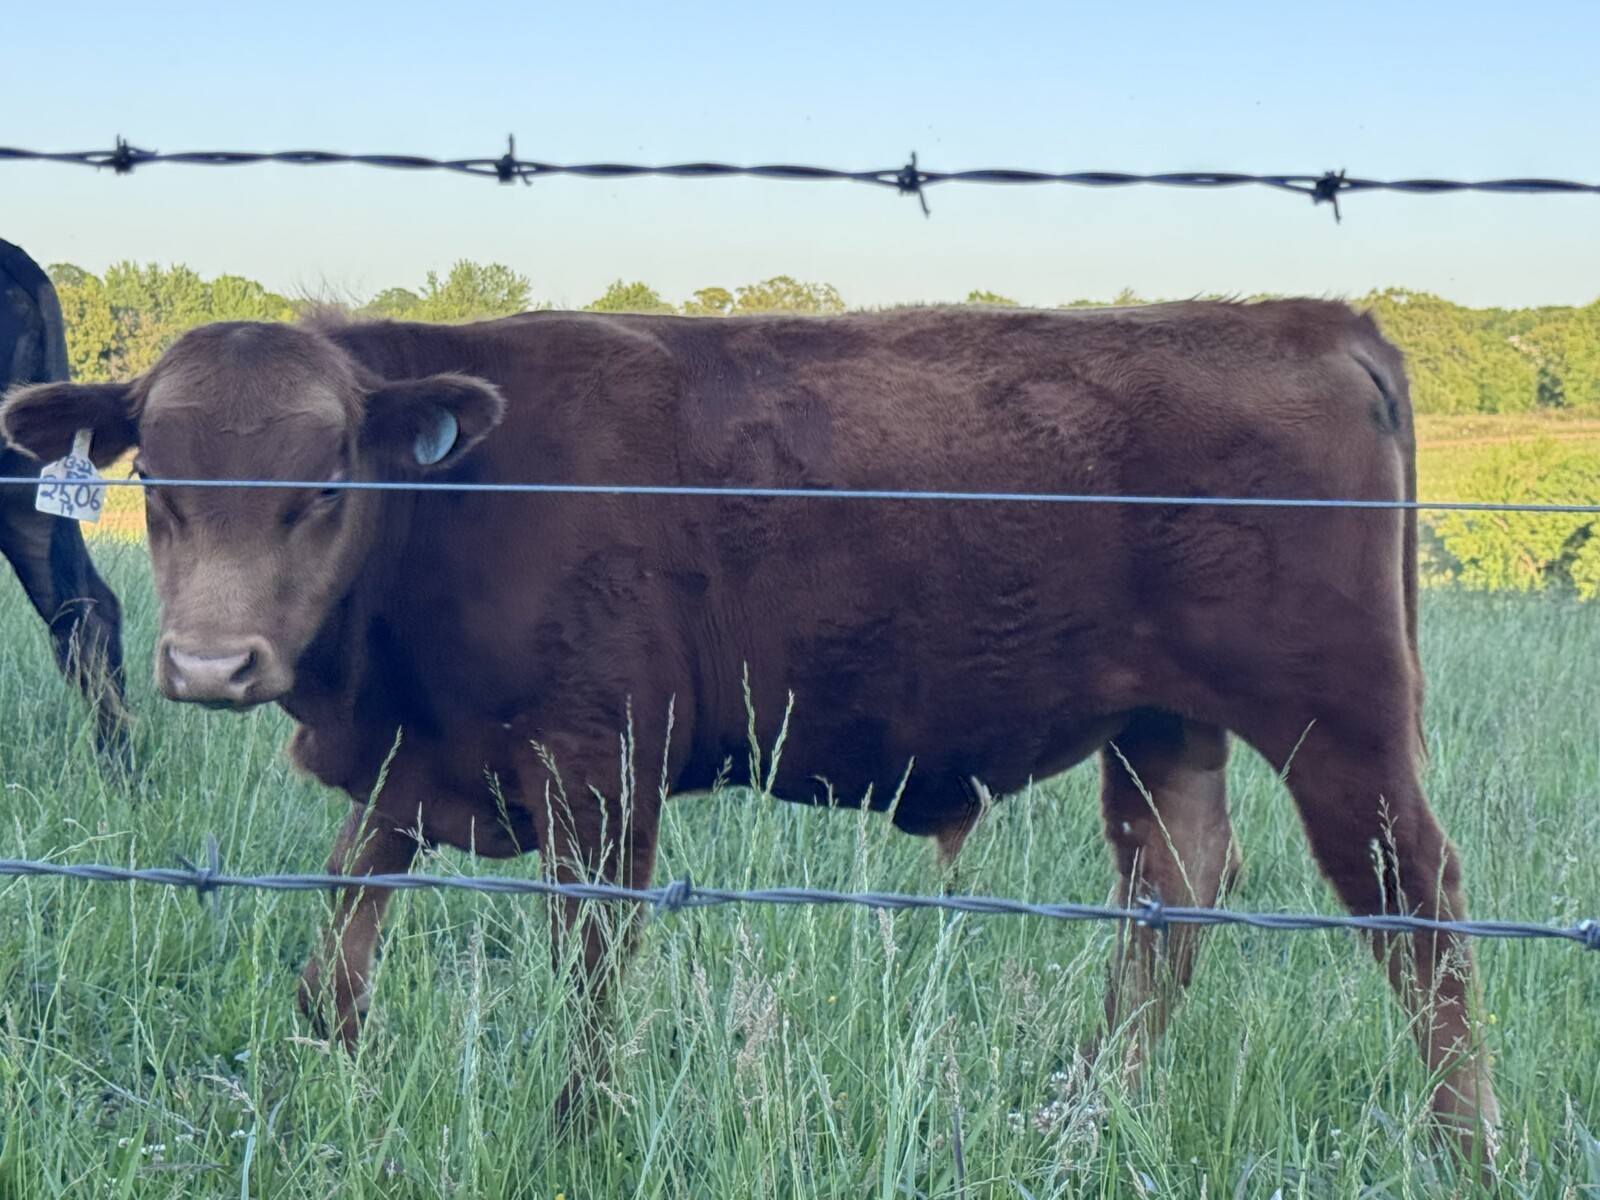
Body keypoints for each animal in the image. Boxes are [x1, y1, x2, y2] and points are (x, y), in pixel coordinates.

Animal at [0, 300, 1498, 1159]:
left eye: (321, 484)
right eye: (162, 481)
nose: (212, 663)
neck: (465, 494)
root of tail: (1308, 315)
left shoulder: (601, 773)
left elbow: (591, 978)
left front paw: (582, 1136)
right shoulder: (420, 763)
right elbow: (336, 957)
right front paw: (326, 1087)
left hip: (1340, 724)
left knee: (1416, 911)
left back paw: (1460, 1144)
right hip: (1163, 726)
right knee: (1170, 899)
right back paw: (1087, 1116)